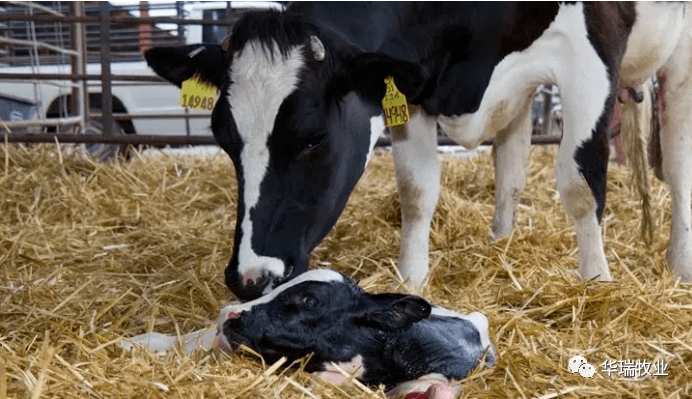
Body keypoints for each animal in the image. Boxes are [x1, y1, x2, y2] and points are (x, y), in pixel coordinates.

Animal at [146, 0, 692, 300]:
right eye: (223, 137)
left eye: (314, 137)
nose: (249, 278)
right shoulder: (411, 84)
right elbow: (416, 190)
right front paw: (411, 278)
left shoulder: (590, 53)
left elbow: (580, 185)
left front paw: (596, 282)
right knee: (511, 164)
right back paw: (501, 246)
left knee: (679, 161)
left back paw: (679, 264)